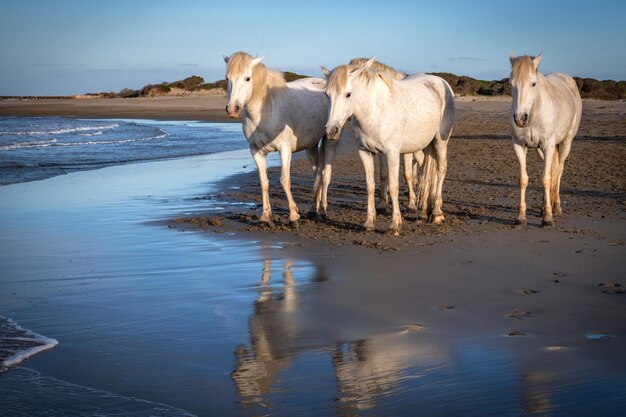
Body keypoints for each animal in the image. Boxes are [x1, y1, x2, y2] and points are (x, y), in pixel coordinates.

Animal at [222, 52, 334, 228]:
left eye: (247, 78)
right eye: (227, 78)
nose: (232, 109)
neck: (265, 111)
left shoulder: (284, 149)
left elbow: (284, 180)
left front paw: (294, 217)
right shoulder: (256, 152)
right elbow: (264, 182)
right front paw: (265, 217)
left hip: (329, 139)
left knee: (325, 173)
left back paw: (322, 211)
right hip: (311, 144)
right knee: (317, 172)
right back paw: (312, 209)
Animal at [324, 58, 450, 234]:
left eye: (348, 94)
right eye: (327, 94)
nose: (331, 131)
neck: (375, 111)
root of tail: (439, 81)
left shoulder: (392, 153)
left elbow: (394, 186)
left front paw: (395, 224)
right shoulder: (365, 152)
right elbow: (371, 185)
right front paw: (369, 222)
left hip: (440, 141)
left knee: (440, 169)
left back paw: (437, 213)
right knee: (427, 173)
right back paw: (425, 212)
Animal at [508, 53, 580, 228]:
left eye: (533, 83)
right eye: (511, 84)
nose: (520, 119)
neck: (534, 113)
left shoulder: (548, 145)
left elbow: (546, 179)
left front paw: (548, 217)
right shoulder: (519, 146)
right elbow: (523, 179)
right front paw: (521, 217)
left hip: (565, 143)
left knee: (558, 172)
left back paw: (557, 207)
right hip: (542, 149)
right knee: (553, 170)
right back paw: (544, 207)